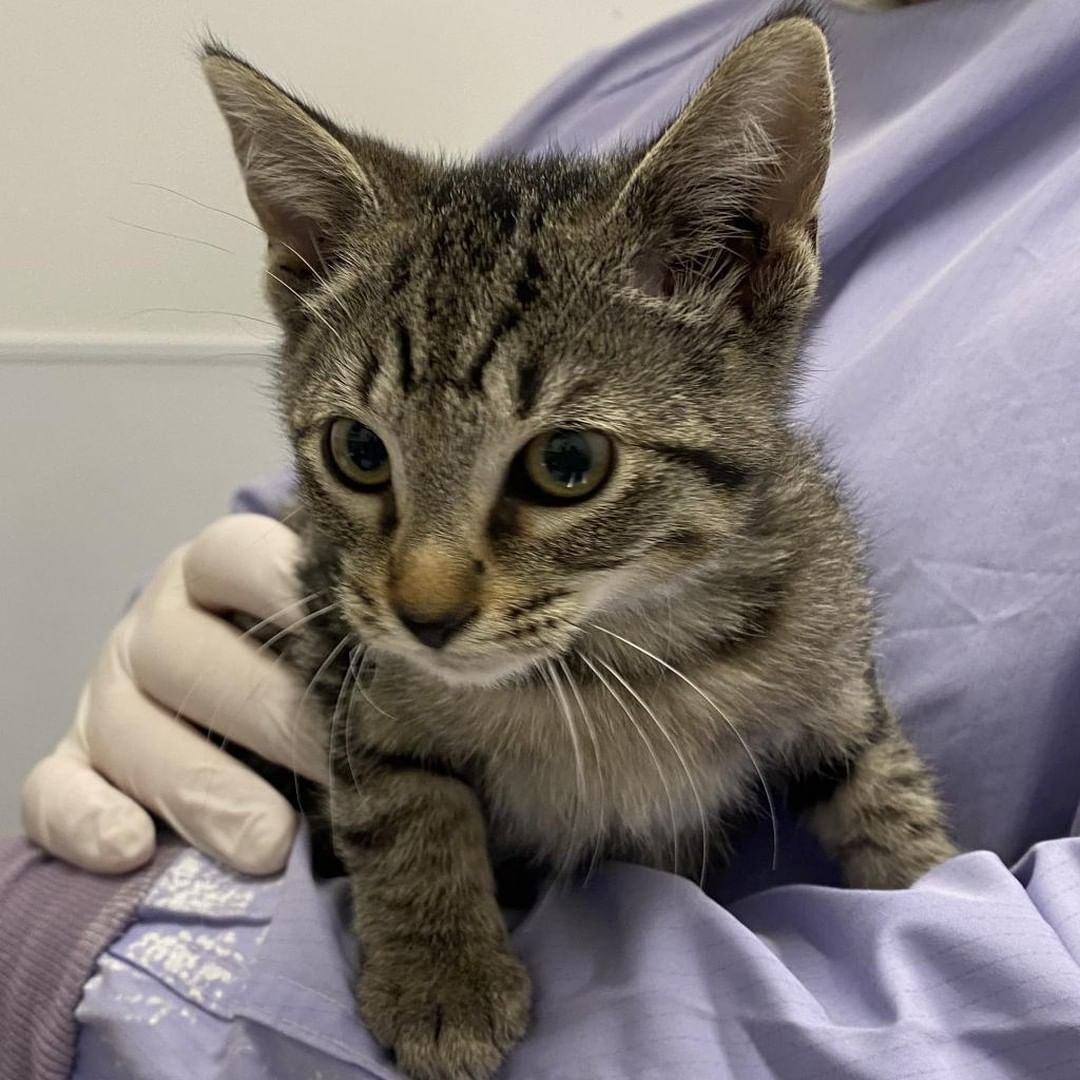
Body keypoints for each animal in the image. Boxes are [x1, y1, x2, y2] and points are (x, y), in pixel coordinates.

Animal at [200, 10, 954, 1080]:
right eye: (357, 451)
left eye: (567, 462)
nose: (425, 616)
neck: (615, 656)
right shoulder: (343, 642)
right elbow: (402, 802)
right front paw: (443, 979)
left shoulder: (834, 666)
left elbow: (885, 786)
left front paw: (934, 885)